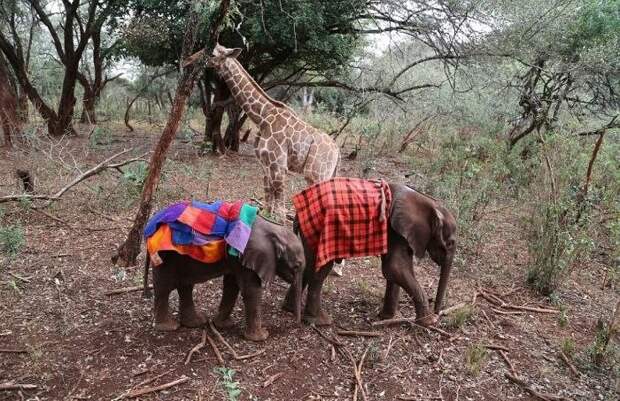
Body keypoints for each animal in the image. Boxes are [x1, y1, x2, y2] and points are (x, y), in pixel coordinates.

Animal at [141, 216, 306, 340]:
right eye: (297, 266)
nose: (297, 324)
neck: (272, 229)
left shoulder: (237, 257)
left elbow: (231, 285)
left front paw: (223, 325)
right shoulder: (244, 253)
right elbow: (250, 290)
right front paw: (262, 337)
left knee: (185, 286)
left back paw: (196, 322)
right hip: (166, 256)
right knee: (164, 287)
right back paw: (168, 327)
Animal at [188, 44, 340, 219]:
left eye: (212, 54)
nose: (189, 60)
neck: (262, 118)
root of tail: (337, 151)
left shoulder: (279, 166)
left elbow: (280, 212)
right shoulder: (265, 165)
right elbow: (268, 205)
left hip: (316, 175)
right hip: (325, 175)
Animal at [284, 183, 456, 326]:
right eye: (450, 243)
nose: (438, 313)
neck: (429, 202)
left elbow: (395, 271)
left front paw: (387, 317)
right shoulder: (394, 229)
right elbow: (395, 268)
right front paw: (428, 322)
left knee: (308, 265)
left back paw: (290, 309)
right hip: (322, 230)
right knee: (320, 270)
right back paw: (320, 321)